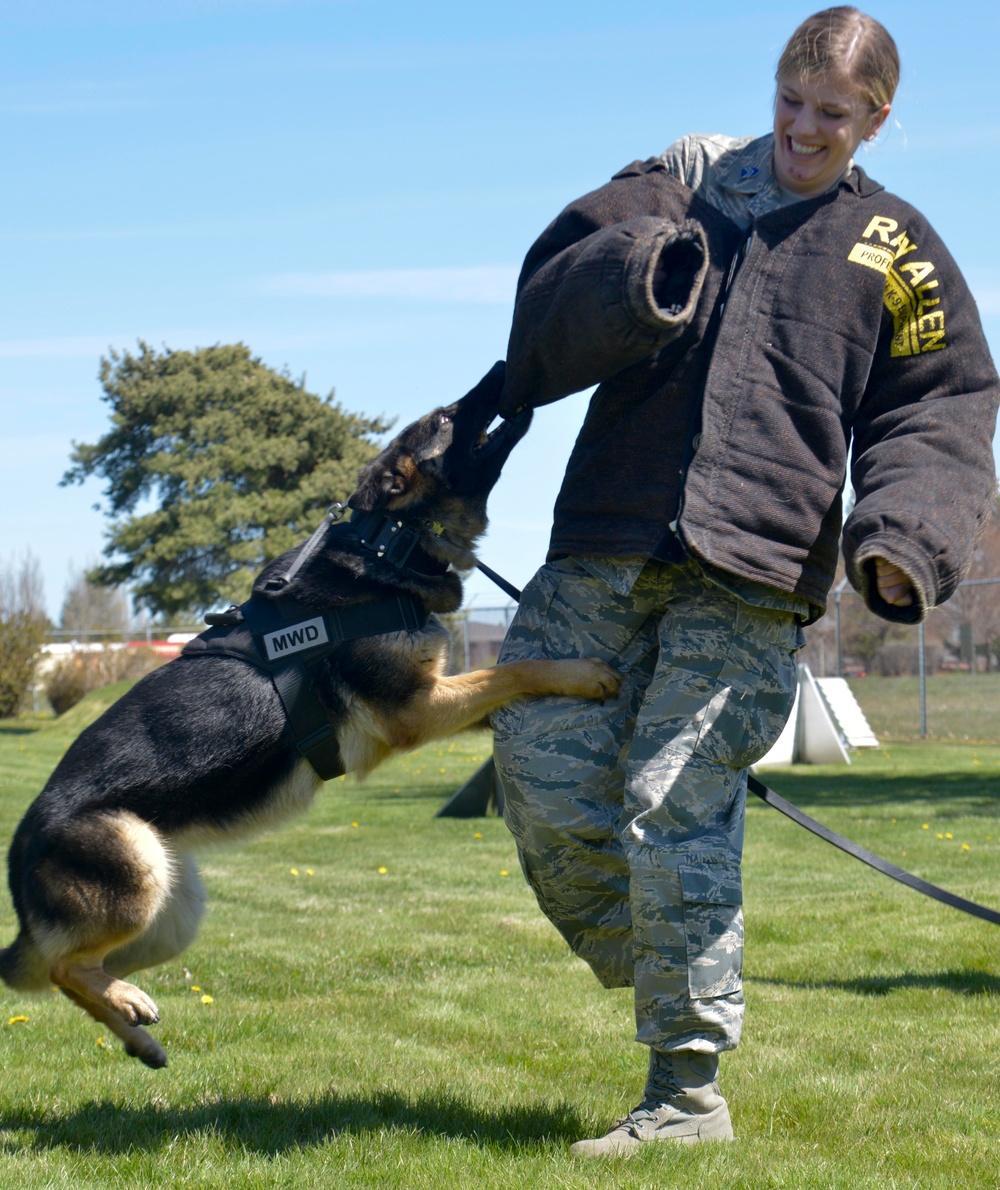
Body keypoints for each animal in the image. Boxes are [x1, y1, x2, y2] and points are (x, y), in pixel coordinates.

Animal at [1, 364, 619, 1071]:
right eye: (443, 418)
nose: (499, 369)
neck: (386, 546)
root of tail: (22, 846)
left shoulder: (434, 701)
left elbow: (502, 689)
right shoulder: (416, 708)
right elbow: (512, 672)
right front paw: (585, 672)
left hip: (171, 911)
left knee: (65, 971)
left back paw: (138, 1036)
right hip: (139, 877)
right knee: (61, 968)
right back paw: (129, 1008)